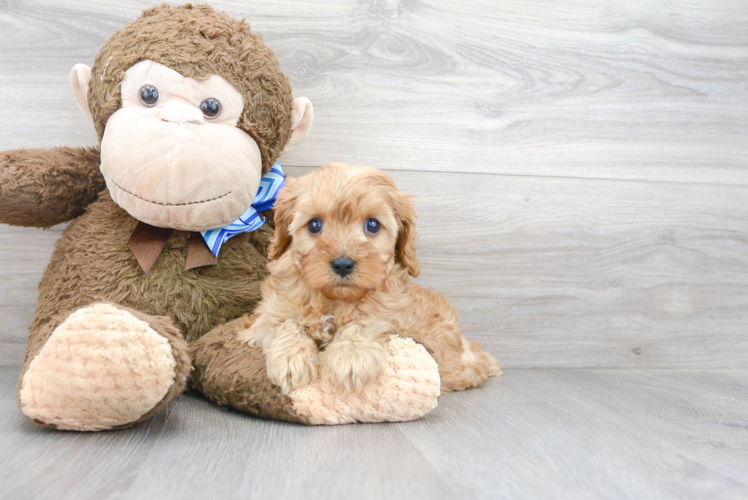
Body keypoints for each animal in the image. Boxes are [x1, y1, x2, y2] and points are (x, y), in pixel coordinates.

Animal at [243, 163, 502, 394]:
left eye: (373, 225)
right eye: (315, 225)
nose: (343, 264)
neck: (335, 301)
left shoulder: (394, 313)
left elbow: (366, 321)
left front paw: (351, 356)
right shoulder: (266, 315)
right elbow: (284, 323)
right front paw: (291, 361)